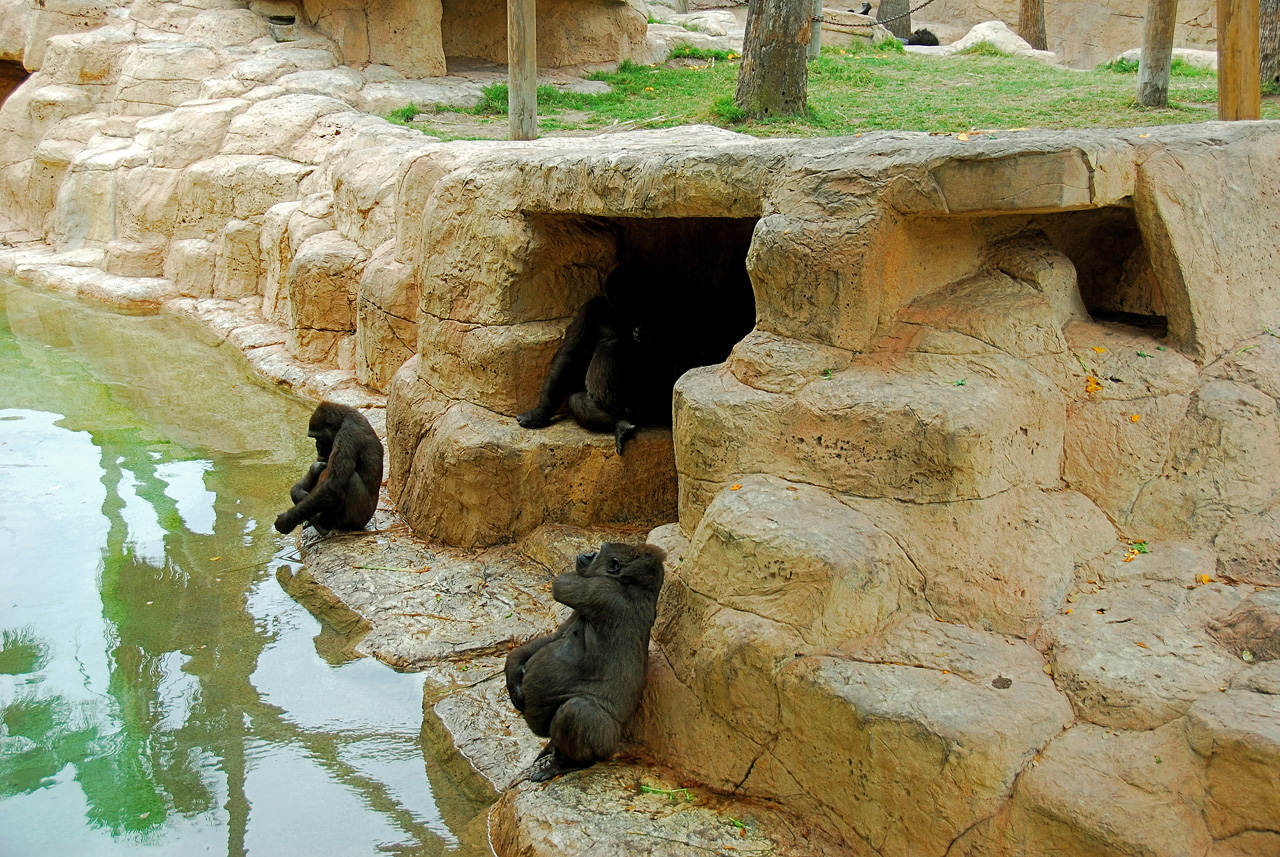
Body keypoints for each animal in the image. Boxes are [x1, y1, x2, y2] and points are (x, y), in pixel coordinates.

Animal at [273, 404, 378, 537]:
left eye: (318, 437)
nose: (318, 446)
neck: (344, 419)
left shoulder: (347, 435)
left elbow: (333, 485)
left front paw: (287, 520)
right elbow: (319, 465)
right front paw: (297, 492)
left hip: (358, 520)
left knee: (351, 480)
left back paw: (321, 524)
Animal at [501, 547, 670, 782]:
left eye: (599, 551)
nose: (586, 553)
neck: (633, 586)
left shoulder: (602, 592)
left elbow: (562, 585)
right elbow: (556, 636)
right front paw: (514, 671)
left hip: (606, 743)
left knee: (578, 711)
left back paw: (567, 763)